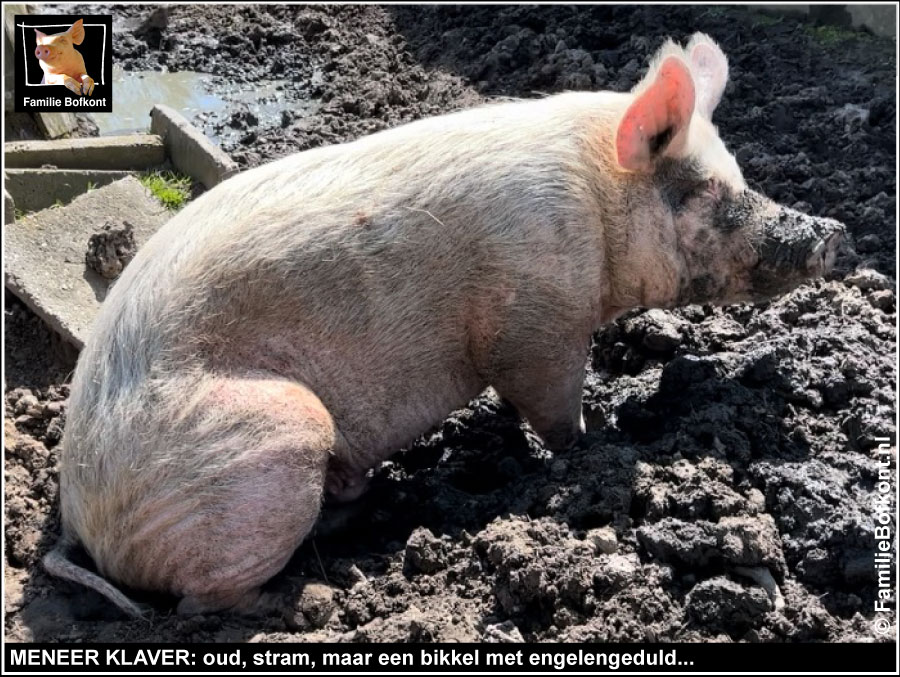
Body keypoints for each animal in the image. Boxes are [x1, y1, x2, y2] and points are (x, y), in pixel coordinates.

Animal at [44, 33, 844, 616]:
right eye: (707, 192)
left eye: (738, 175)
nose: (834, 232)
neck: (597, 207)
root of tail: (82, 521)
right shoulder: (535, 325)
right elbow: (554, 408)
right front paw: (594, 446)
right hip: (274, 429)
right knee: (196, 604)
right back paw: (305, 596)